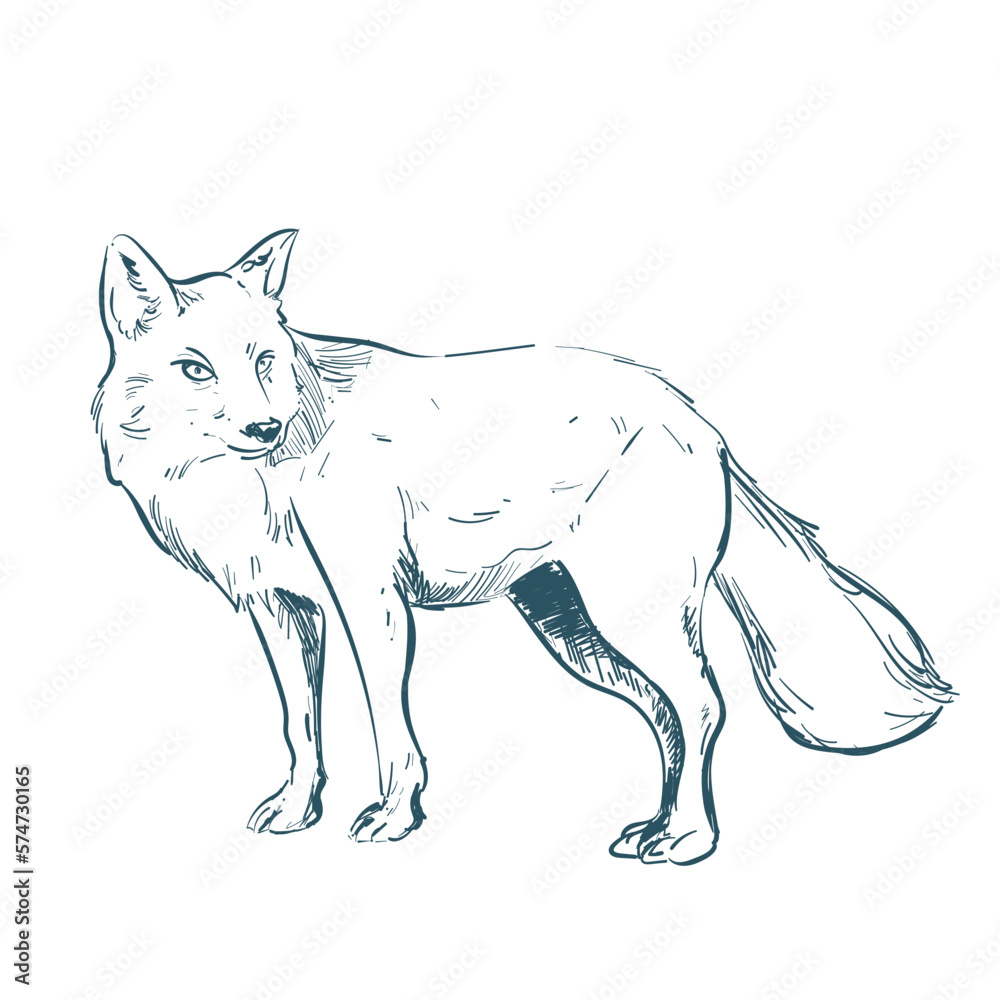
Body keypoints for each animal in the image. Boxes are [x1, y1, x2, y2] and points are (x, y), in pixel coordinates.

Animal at [91, 229, 953, 865]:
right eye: (194, 369)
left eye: (263, 363)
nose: (263, 428)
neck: (261, 480)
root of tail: (695, 417)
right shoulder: (279, 609)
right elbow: (301, 727)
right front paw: (297, 810)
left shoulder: (372, 603)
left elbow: (388, 730)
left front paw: (395, 817)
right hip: (576, 635)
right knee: (668, 715)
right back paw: (655, 827)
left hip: (629, 618)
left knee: (706, 704)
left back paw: (689, 840)